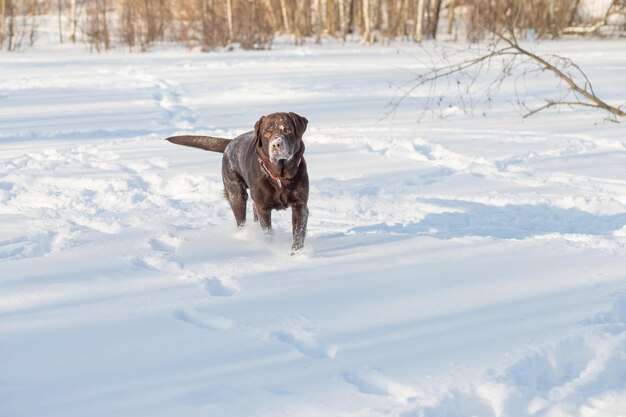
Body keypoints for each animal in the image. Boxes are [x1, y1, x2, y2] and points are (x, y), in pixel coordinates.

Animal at [166, 112, 308, 252]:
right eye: (267, 133)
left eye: (287, 130)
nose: (277, 144)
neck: (279, 176)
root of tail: (231, 142)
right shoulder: (263, 208)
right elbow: (268, 233)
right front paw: (270, 248)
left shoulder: (300, 206)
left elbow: (298, 235)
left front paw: (296, 254)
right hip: (236, 194)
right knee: (241, 220)